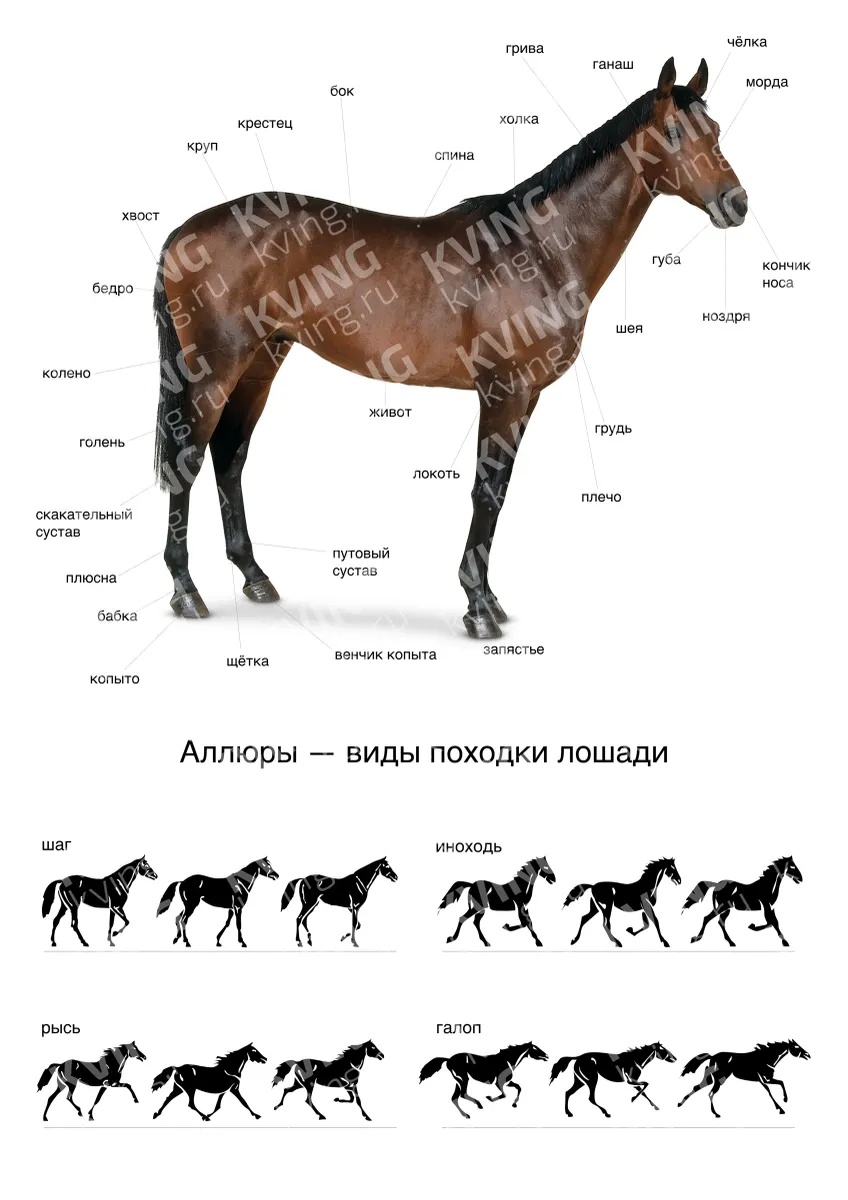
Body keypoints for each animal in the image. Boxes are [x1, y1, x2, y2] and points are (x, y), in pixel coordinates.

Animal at [152, 58, 746, 639]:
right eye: (673, 131)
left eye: (716, 130)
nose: (735, 203)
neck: (537, 248)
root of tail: (186, 229)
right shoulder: (503, 391)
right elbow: (486, 492)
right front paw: (478, 608)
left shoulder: (526, 397)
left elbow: (499, 492)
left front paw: (489, 599)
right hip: (214, 369)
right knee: (187, 461)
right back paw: (187, 592)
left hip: (262, 361)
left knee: (230, 457)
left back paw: (255, 577)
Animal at [419, 1043, 548, 1119]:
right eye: (535, 1049)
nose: (547, 1056)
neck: (506, 1060)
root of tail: (448, 1060)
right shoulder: (499, 1083)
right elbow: (504, 1095)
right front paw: (489, 1098)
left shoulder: (507, 1082)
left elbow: (519, 1087)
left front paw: (514, 1104)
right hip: (463, 1079)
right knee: (462, 1094)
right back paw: (479, 1104)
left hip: (458, 1081)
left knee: (454, 1098)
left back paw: (466, 1114)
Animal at [678, 1040, 810, 1118]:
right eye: (796, 1046)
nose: (808, 1055)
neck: (765, 1058)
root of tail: (712, 1057)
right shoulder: (763, 1079)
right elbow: (771, 1091)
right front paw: (781, 1108)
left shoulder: (765, 1079)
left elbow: (781, 1083)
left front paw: (785, 1100)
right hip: (720, 1078)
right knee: (710, 1093)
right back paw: (715, 1113)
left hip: (712, 1078)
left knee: (698, 1087)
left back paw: (680, 1103)